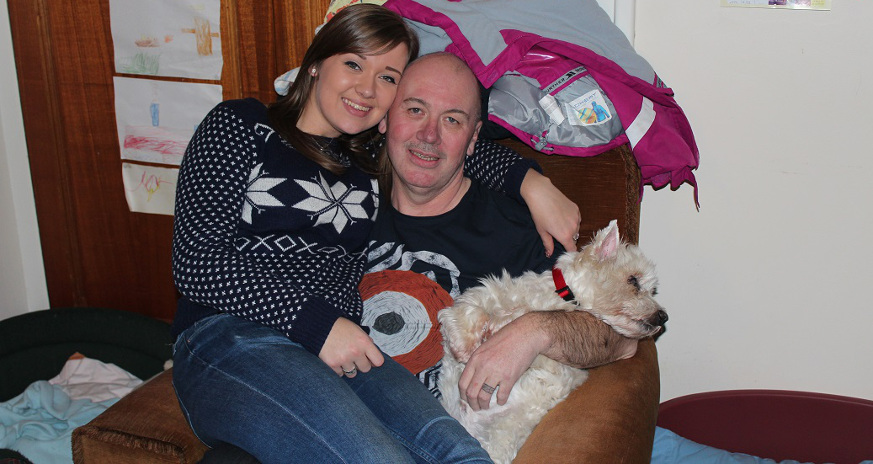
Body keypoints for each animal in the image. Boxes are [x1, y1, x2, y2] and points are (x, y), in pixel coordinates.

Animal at [437, 220, 667, 463]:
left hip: (500, 438)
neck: (564, 297)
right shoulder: (488, 293)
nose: (663, 317)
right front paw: (465, 348)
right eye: (633, 280)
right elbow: (471, 310)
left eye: (652, 289)